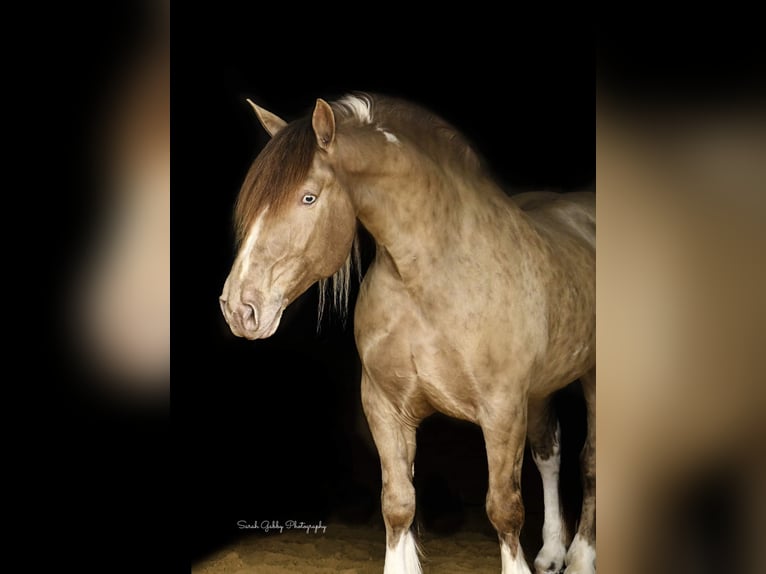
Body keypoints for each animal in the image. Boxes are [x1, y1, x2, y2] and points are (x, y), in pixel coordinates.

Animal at [219, 92, 596, 572]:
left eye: (308, 197)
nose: (238, 308)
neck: (433, 276)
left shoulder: (502, 410)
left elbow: (504, 508)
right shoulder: (384, 406)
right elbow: (398, 504)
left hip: (589, 380)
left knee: (589, 463)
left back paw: (581, 557)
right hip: (542, 389)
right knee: (550, 453)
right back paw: (550, 553)